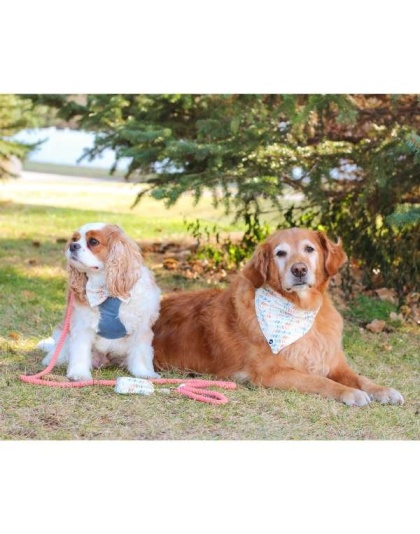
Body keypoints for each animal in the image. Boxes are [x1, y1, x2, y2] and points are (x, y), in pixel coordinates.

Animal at [39, 224, 161, 384]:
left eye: (93, 241)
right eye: (74, 239)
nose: (73, 246)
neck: (106, 291)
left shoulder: (141, 327)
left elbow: (141, 352)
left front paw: (144, 373)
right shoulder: (82, 325)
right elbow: (80, 350)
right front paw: (79, 373)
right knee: (60, 349)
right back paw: (52, 360)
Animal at [153, 228, 404, 408]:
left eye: (309, 249)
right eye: (280, 253)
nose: (299, 269)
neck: (299, 309)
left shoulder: (335, 363)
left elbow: (361, 378)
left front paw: (383, 390)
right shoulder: (270, 373)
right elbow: (318, 380)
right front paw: (350, 392)